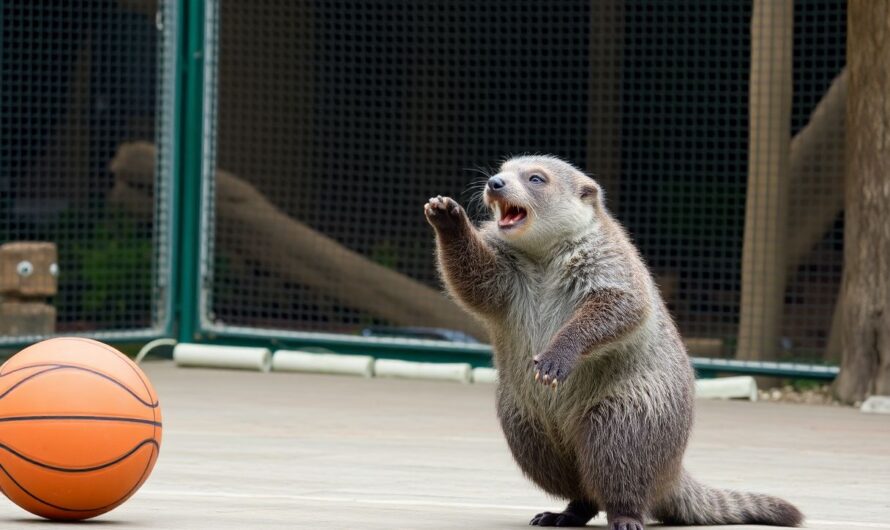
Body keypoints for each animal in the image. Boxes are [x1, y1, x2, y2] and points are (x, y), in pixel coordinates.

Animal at [420, 154, 800, 528]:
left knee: (618, 462)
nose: (494, 183)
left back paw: (625, 514)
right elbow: (474, 280)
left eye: (536, 178)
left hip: (632, 411)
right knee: (569, 475)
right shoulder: (507, 273)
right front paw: (447, 217)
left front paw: (558, 355)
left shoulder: (611, 262)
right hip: (524, 421)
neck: (543, 257)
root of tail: (672, 472)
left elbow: (619, 307)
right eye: (503, 169)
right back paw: (567, 510)